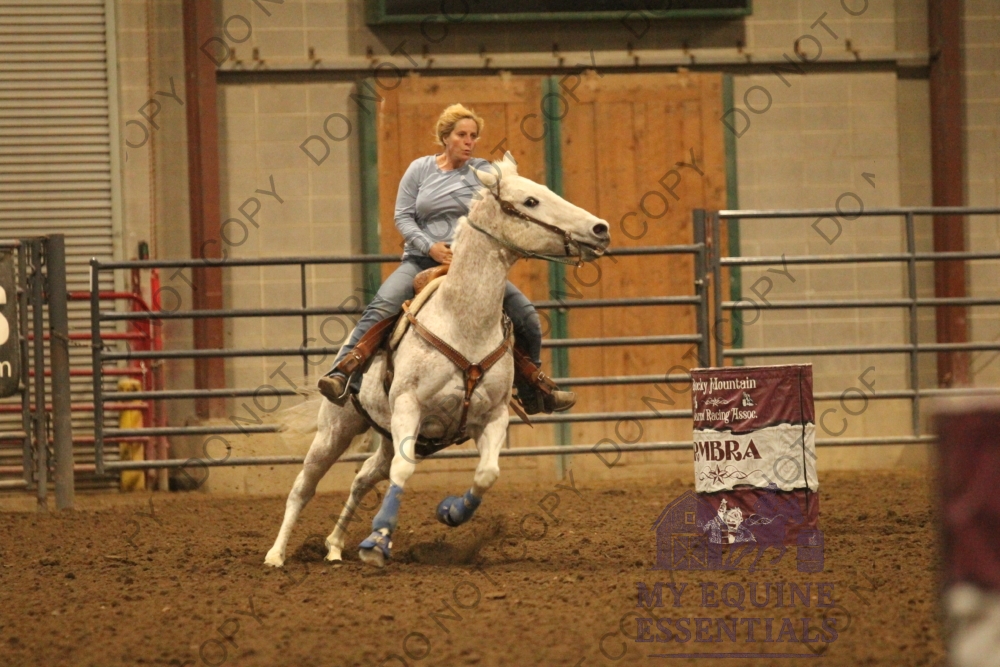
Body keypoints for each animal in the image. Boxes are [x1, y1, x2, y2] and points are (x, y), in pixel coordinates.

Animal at [264, 152, 611, 568]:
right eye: (530, 201)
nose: (600, 228)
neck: (462, 322)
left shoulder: (492, 416)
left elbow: (487, 473)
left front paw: (452, 512)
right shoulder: (408, 408)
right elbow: (404, 470)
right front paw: (377, 541)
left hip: (387, 436)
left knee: (363, 477)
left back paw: (333, 546)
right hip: (336, 429)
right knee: (305, 486)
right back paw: (277, 554)